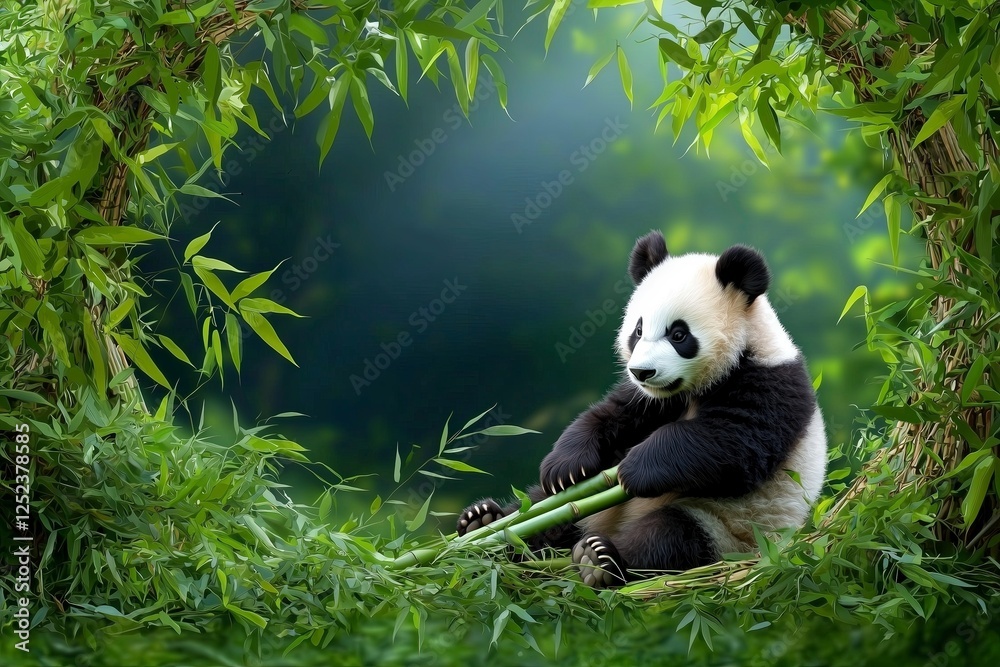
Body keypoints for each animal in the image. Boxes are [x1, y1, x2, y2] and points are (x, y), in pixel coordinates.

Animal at [457, 231, 828, 588]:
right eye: (637, 329)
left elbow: (732, 444)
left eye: (678, 334)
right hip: (584, 514)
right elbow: (611, 416)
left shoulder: (769, 383)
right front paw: (565, 466)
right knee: (541, 510)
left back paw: (600, 561)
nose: (642, 372)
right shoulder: (653, 399)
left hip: (727, 531)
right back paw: (485, 524)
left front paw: (635, 468)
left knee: (669, 540)